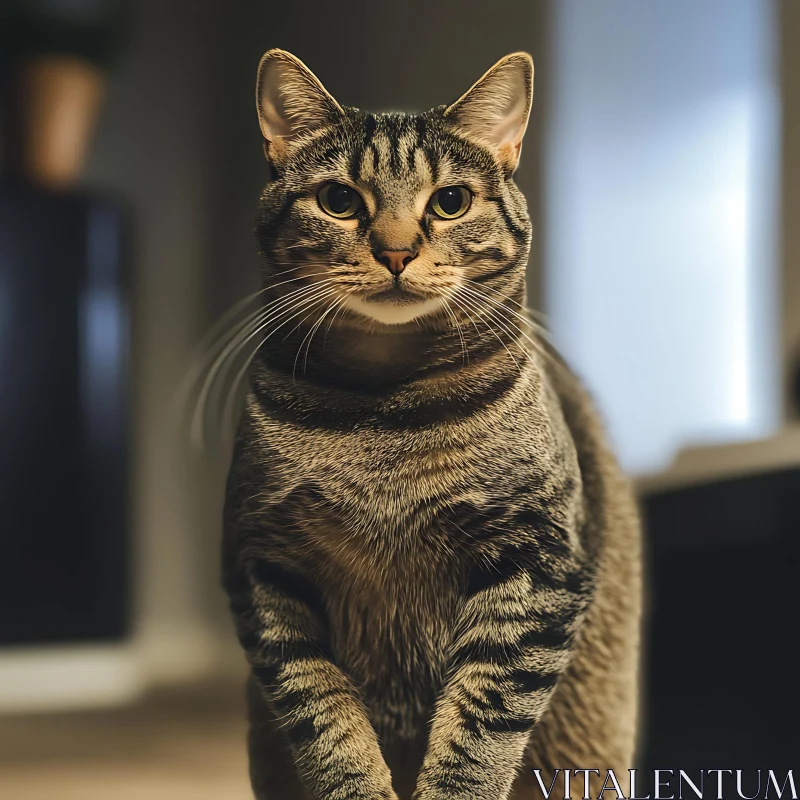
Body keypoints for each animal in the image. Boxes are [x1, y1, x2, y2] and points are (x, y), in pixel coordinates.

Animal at [220, 48, 644, 800]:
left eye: (451, 202)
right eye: (339, 201)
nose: (395, 251)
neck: (384, 413)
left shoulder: (538, 565)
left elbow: (478, 731)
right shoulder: (262, 567)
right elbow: (328, 724)